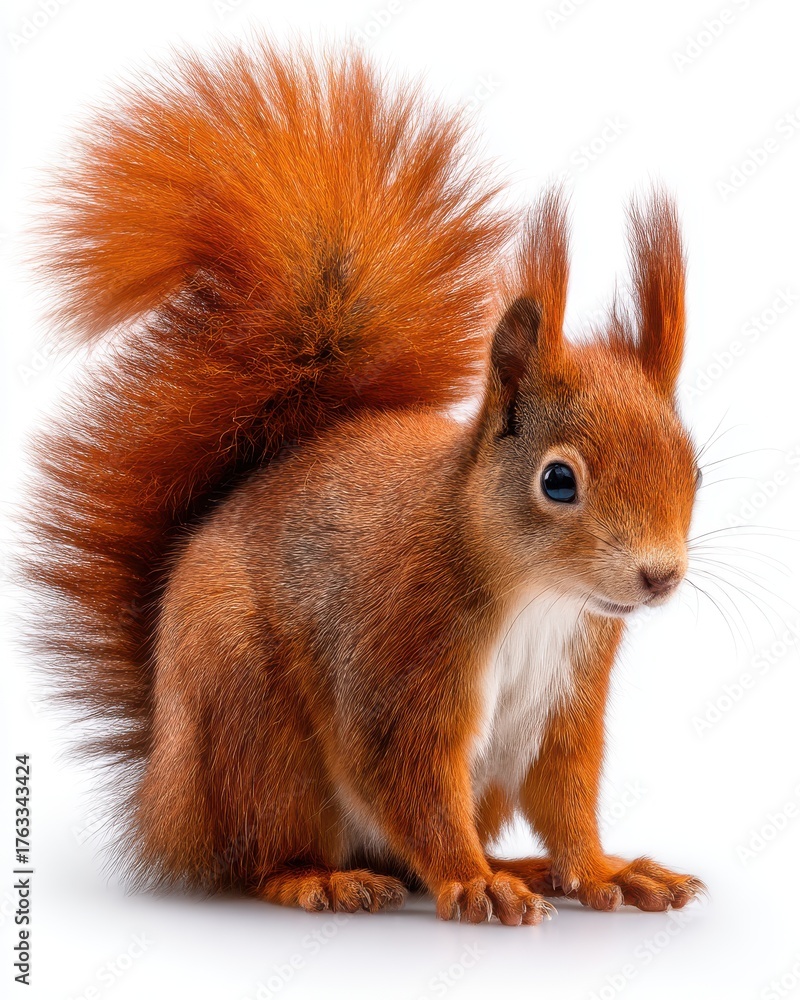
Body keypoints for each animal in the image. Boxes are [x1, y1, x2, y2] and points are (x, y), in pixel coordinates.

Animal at [23, 38, 706, 925]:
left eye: (694, 467)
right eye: (559, 482)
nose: (659, 576)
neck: (536, 596)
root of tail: (164, 797)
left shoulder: (569, 696)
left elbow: (566, 796)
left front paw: (604, 870)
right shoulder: (400, 649)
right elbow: (409, 780)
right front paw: (471, 881)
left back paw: (517, 863)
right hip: (251, 724)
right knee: (264, 853)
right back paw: (325, 878)